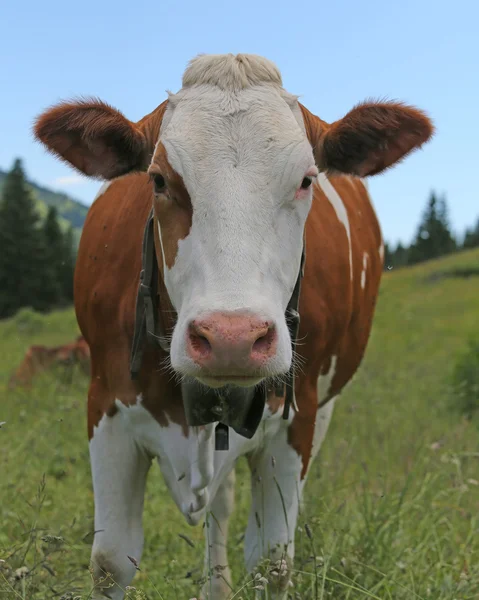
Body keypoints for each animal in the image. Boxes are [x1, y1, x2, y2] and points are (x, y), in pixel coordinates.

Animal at [31, 54, 434, 596]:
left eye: (306, 180)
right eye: (158, 180)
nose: (232, 339)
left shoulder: (296, 419)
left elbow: (271, 561)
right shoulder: (105, 404)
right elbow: (111, 560)